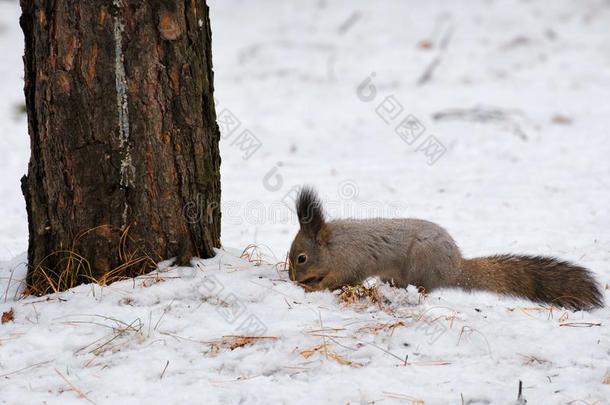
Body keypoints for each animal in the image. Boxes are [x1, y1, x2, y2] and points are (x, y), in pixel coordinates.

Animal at [288, 186, 600, 310]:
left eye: (301, 258)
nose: (291, 278)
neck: (333, 247)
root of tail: (455, 267)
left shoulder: (351, 263)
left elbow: (341, 280)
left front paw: (311, 287)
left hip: (420, 266)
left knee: (424, 287)